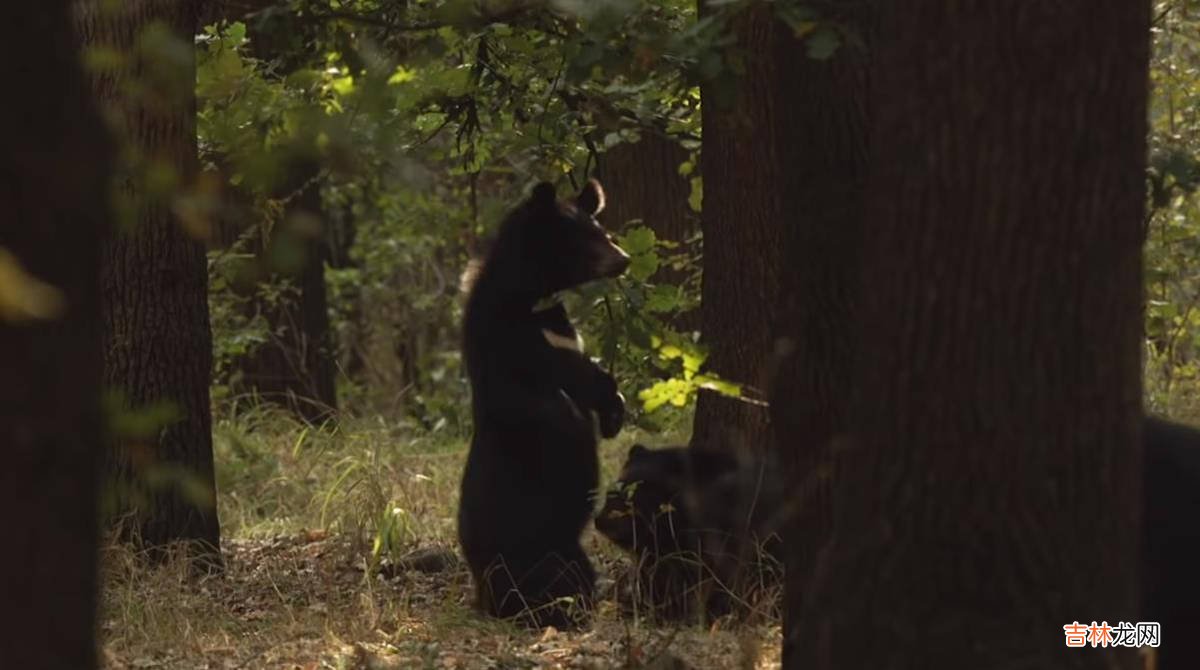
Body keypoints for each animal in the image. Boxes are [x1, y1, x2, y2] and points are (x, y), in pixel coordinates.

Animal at [456, 180, 628, 629]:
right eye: (587, 238)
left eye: (602, 230)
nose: (623, 258)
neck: (534, 297)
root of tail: (483, 592)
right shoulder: (519, 341)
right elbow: (579, 378)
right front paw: (612, 408)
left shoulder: (560, 331)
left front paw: (613, 419)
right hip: (536, 549)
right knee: (552, 582)